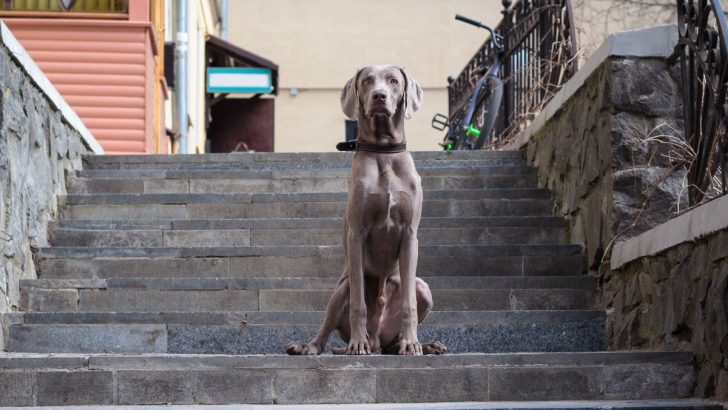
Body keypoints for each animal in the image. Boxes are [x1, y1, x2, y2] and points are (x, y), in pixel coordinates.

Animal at [288, 65, 446, 356]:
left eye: (393, 81)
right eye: (366, 81)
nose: (379, 96)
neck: (384, 152)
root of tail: (377, 340)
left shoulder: (410, 234)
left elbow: (409, 303)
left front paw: (412, 344)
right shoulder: (357, 234)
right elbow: (358, 303)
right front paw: (356, 344)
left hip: (424, 288)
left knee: (395, 339)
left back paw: (422, 344)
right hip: (342, 288)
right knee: (326, 331)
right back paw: (310, 345)